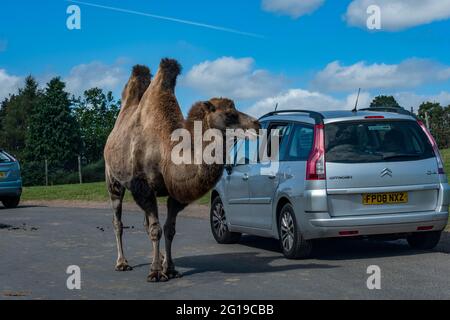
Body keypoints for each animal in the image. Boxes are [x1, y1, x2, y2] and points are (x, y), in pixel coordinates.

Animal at [104, 58, 260, 282]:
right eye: (230, 114)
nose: (257, 124)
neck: (166, 151)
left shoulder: (175, 193)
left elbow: (168, 229)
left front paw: (169, 268)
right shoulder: (144, 187)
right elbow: (156, 229)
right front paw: (155, 272)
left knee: (145, 224)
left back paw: (159, 258)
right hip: (113, 180)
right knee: (118, 221)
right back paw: (122, 263)